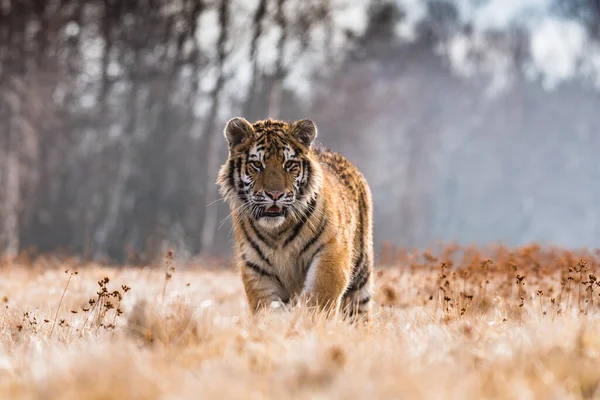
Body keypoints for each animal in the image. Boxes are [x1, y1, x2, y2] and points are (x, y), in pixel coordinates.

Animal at [216, 115, 376, 318]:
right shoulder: (256, 267)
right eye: (257, 165)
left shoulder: (331, 251)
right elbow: (266, 308)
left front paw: (311, 323)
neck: (277, 231)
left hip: (361, 275)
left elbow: (320, 299)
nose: (275, 194)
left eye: (289, 164)